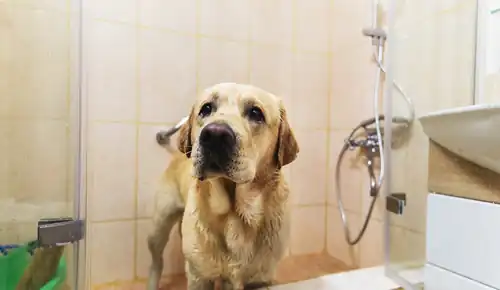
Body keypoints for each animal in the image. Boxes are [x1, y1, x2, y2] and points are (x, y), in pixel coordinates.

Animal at [146, 82, 298, 288]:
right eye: (206, 108)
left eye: (256, 112)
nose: (215, 134)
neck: (234, 214)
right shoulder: (199, 276)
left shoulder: (261, 279)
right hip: (158, 227)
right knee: (156, 262)